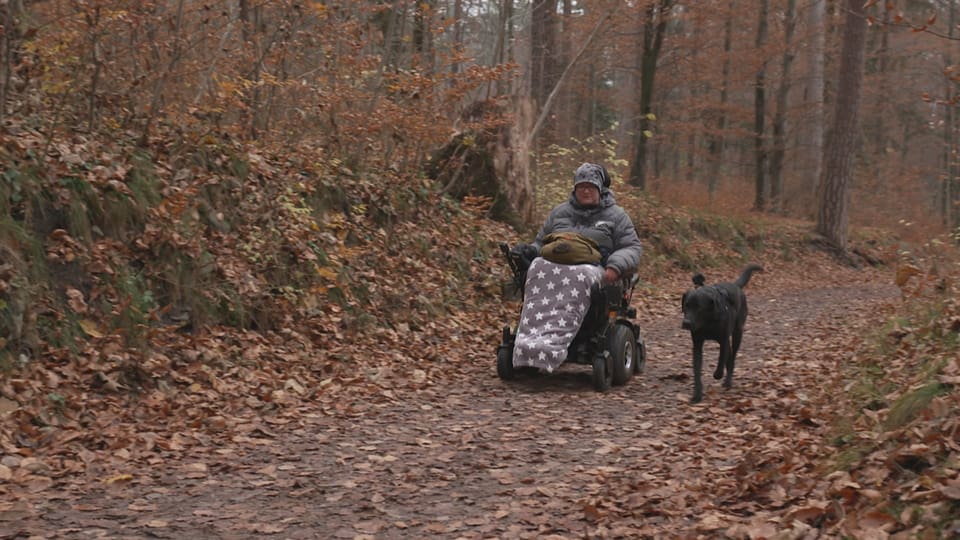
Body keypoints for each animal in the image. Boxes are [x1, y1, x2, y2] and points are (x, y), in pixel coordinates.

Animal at [684, 264, 764, 402]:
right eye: (686, 305)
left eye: (699, 308)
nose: (686, 323)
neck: (708, 322)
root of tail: (736, 286)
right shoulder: (697, 344)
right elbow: (697, 369)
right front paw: (697, 394)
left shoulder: (723, 340)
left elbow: (721, 359)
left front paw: (718, 374)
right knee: (730, 356)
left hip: (738, 333)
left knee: (732, 357)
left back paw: (728, 381)